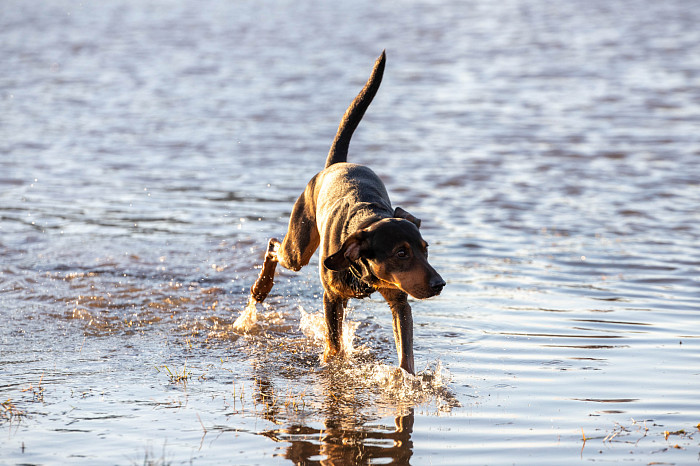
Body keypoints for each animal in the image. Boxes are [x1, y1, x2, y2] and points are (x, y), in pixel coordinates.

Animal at [249, 51, 446, 374]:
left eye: (425, 248)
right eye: (401, 253)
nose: (439, 284)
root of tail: (335, 164)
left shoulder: (399, 301)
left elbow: (405, 353)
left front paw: (406, 379)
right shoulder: (330, 296)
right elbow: (334, 341)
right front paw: (334, 362)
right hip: (299, 247)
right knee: (274, 245)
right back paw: (261, 288)